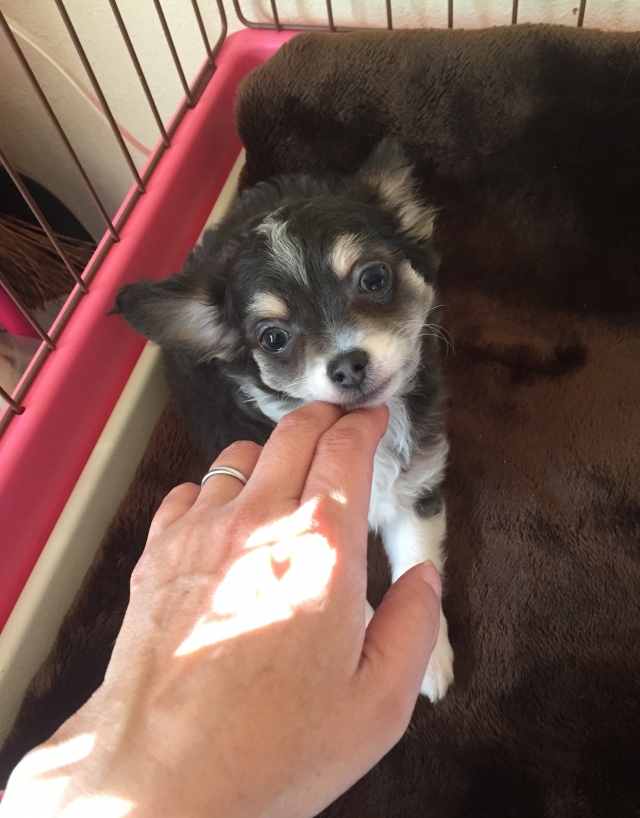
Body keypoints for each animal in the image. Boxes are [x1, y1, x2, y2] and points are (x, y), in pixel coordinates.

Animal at [115, 138, 454, 701]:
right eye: (273, 338)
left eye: (374, 278)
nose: (347, 364)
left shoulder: (415, 487)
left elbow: (416, 564)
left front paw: (427, 656)